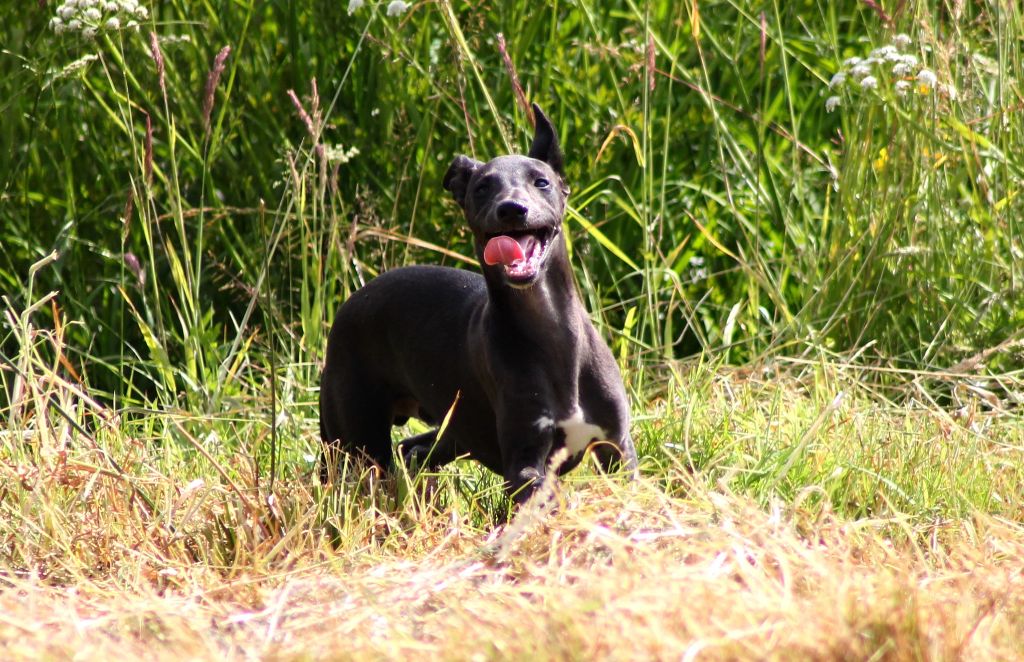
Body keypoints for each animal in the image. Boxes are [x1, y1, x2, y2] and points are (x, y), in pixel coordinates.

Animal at [319, 105, 638, 504]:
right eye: (483, 187)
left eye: (541, 182)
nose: (512, 209)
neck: (550, 329)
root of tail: (351, 303)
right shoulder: (524, 461)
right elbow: (538, 492)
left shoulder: (617, 447)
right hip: (356, 438)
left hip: (452, 430)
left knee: (412, 449)